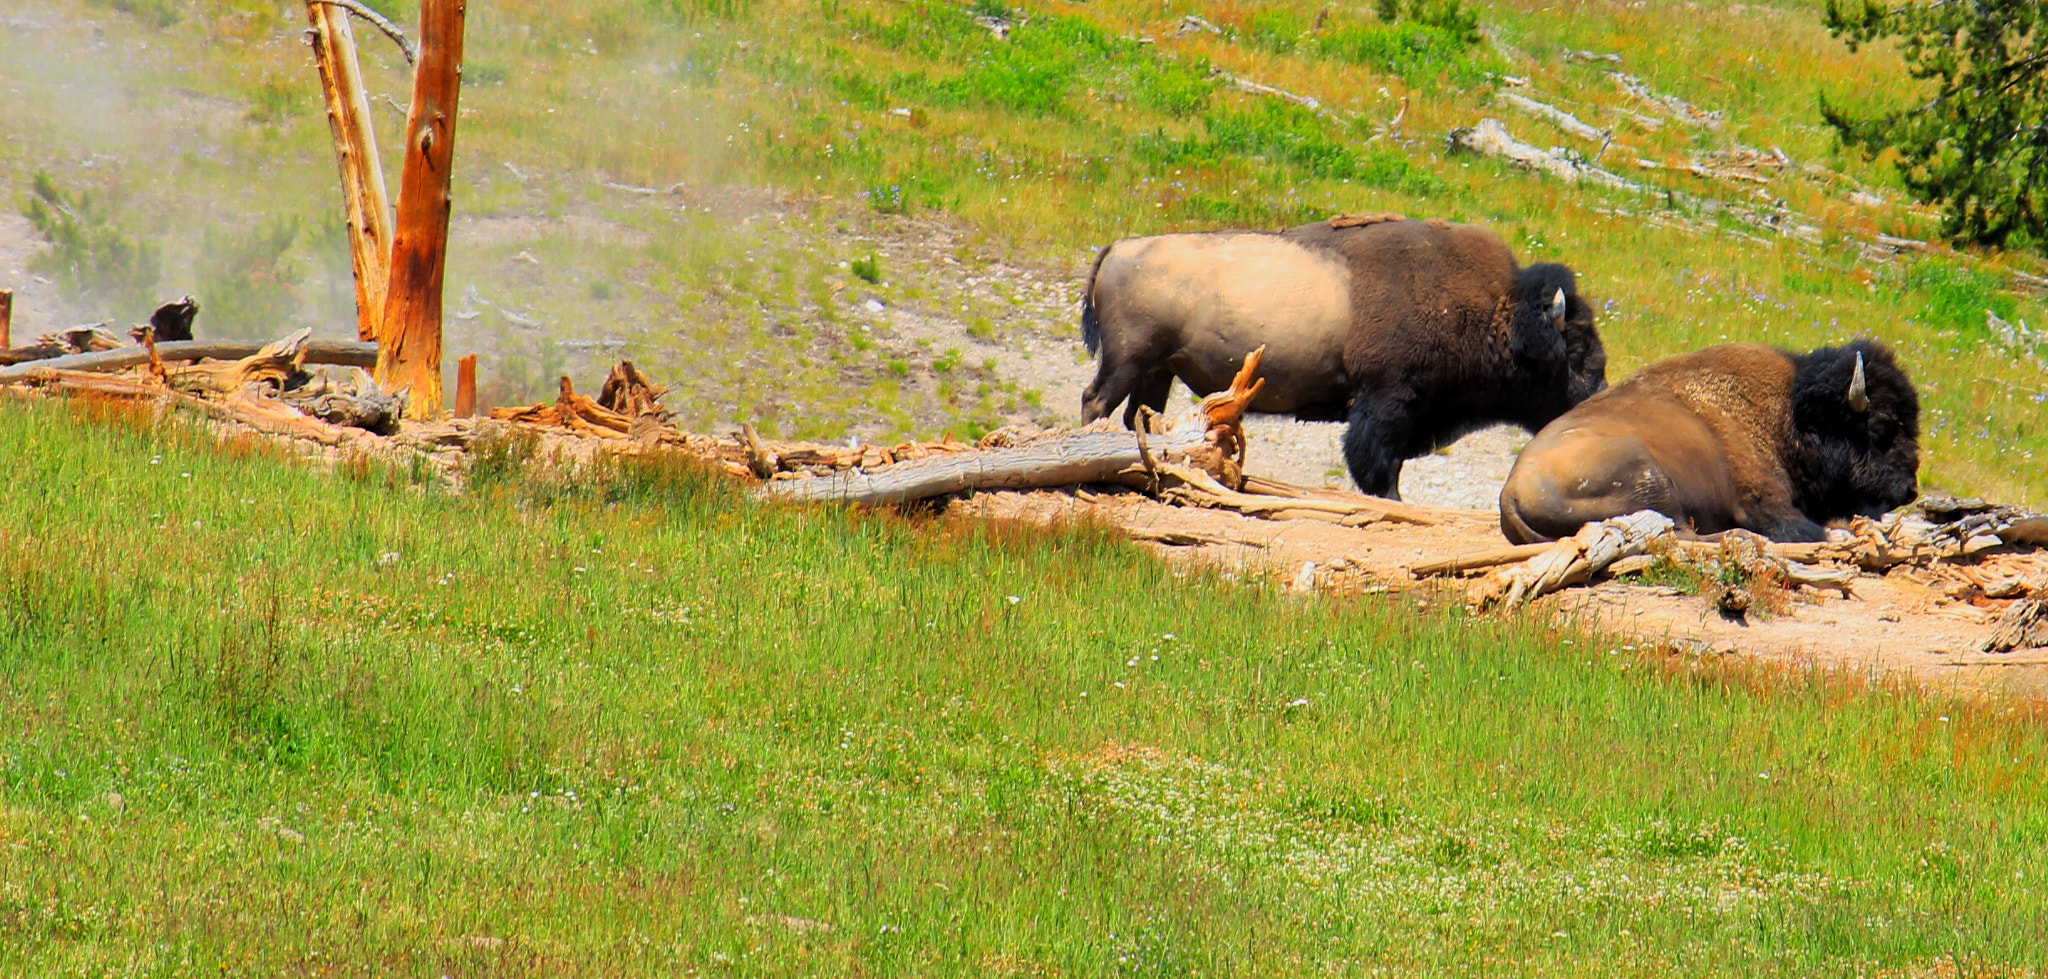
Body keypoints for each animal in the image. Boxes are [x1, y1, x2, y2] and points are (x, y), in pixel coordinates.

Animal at [1079, 216, 1608, 498]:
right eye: (1577, 349)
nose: (1600, 393)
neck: (1499, 312)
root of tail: (1118, 248)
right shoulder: (1387, 402)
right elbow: (1378, 463)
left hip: (1156, 371)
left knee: (1138, 415)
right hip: (1127, 361)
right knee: (1096, 401)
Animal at [1498, 340, 1921, 544]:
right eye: (1882, 427)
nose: (1910, 490)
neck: (1792, 414)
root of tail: (1510, 492)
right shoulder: (1767, 502)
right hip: (1647, 472)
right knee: (1679, 533)